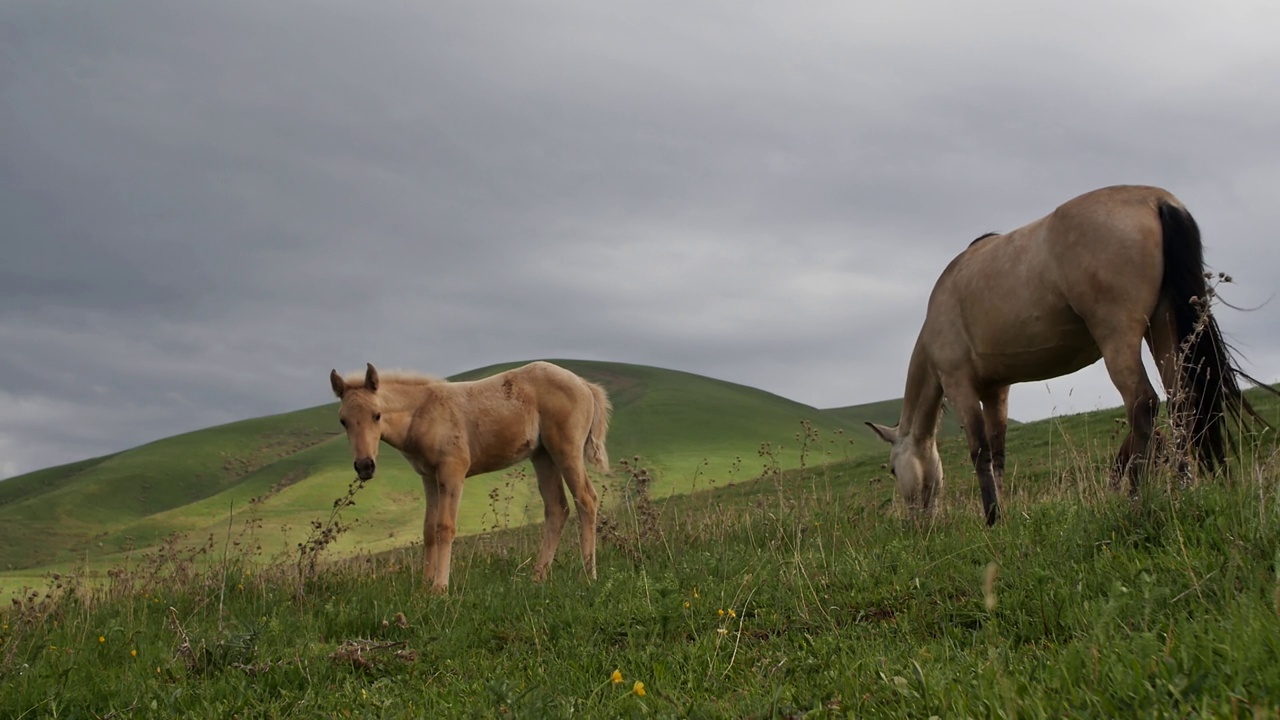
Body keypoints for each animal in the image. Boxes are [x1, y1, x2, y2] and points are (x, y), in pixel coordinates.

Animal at [327, 361, 611, 591]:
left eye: (377, 415)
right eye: (343, 421)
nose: (365, 466)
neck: (423, 413)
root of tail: (584, 385)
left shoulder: (452, 471)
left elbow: (445, 527)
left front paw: (440, 588)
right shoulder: (429, 478)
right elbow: (428, 529)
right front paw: (424, 585)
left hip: (565, 450)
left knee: (587, 499)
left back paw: (588, 575)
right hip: (542, 455)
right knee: (557, 508)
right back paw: (537, 576)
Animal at [865, 181, 1264, 525]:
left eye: (892, 468)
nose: (917, 524)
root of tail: (1157, 200)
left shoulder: (959, 384)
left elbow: (979, 450)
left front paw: (991, 519)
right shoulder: (997, 390)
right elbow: (998, 451)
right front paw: (1003, 515)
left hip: (1119, 338)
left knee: (1143, 404)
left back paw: (1137, 498)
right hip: (1165, 330)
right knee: (1182, 404)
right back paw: (1184, 489)